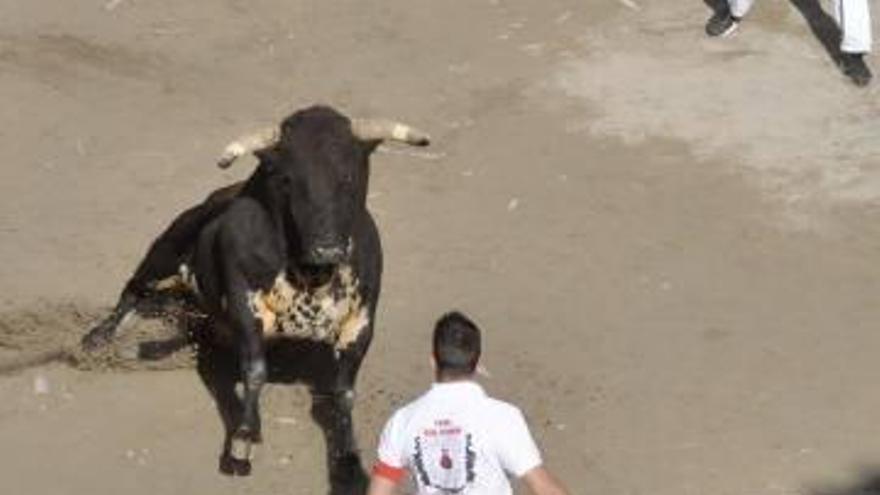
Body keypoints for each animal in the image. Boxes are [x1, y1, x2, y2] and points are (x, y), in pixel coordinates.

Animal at [81, 104, 432, 492]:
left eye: (349, 175)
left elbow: (343, 392)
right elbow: (255, 372)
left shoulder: (361, 322)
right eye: (287, 179)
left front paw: (348, 460)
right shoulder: (244, 307)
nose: (327, 248)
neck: (311, 276)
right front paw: (243, 440)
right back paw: (98, 337)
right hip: (163, 253)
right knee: (132, 292)